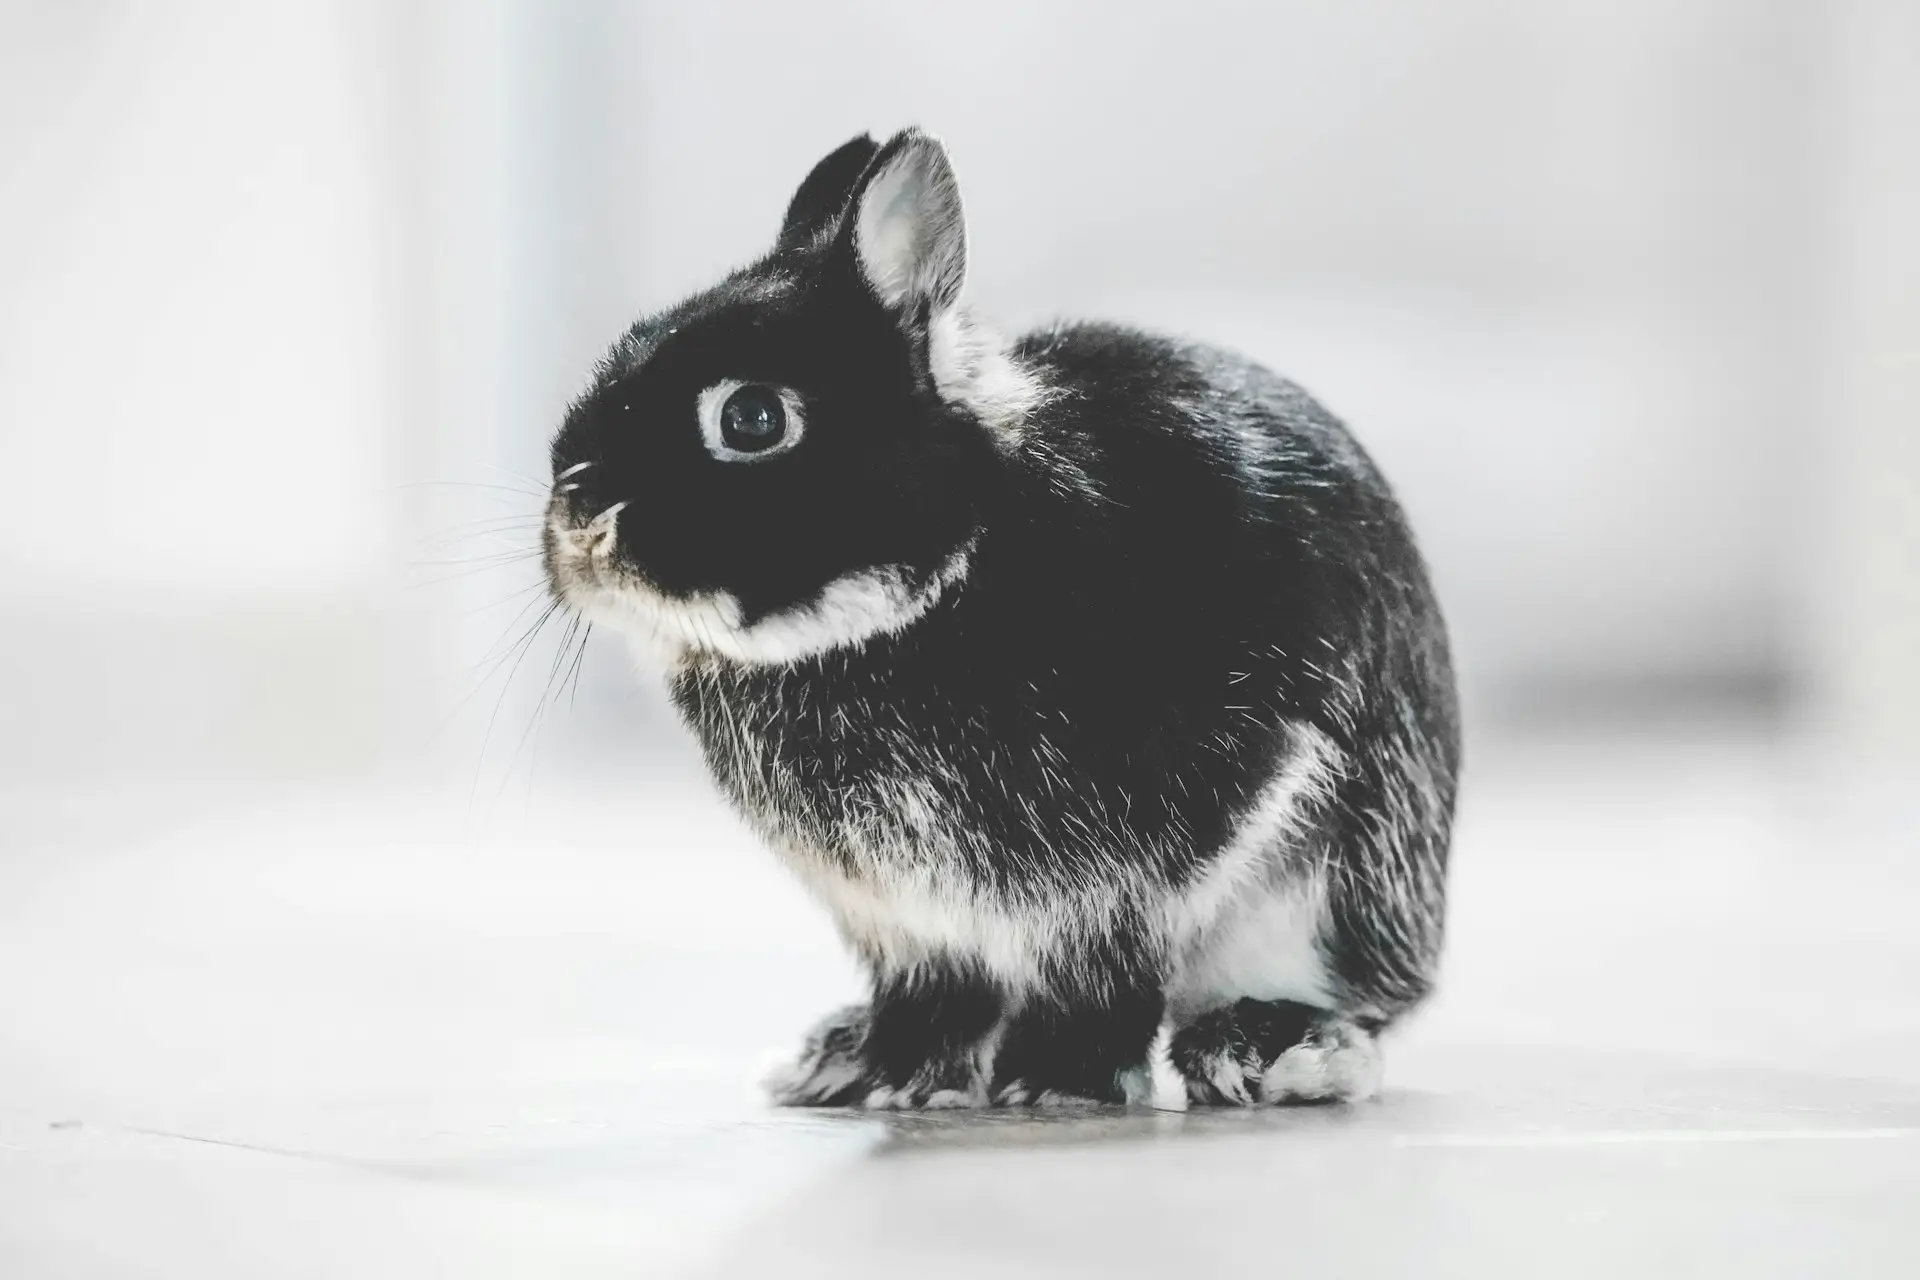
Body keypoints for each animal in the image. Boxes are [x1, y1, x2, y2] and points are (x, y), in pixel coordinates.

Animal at [542, 128, 1460, 1109]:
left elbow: (1102, 973)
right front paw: (887, 1076)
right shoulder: (906, 922)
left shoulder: (1141, 866)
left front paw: (1058, 1084)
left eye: (751, 417)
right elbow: (935, 994)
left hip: (1336, 889)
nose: (579, 517)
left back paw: (1266, 1050)